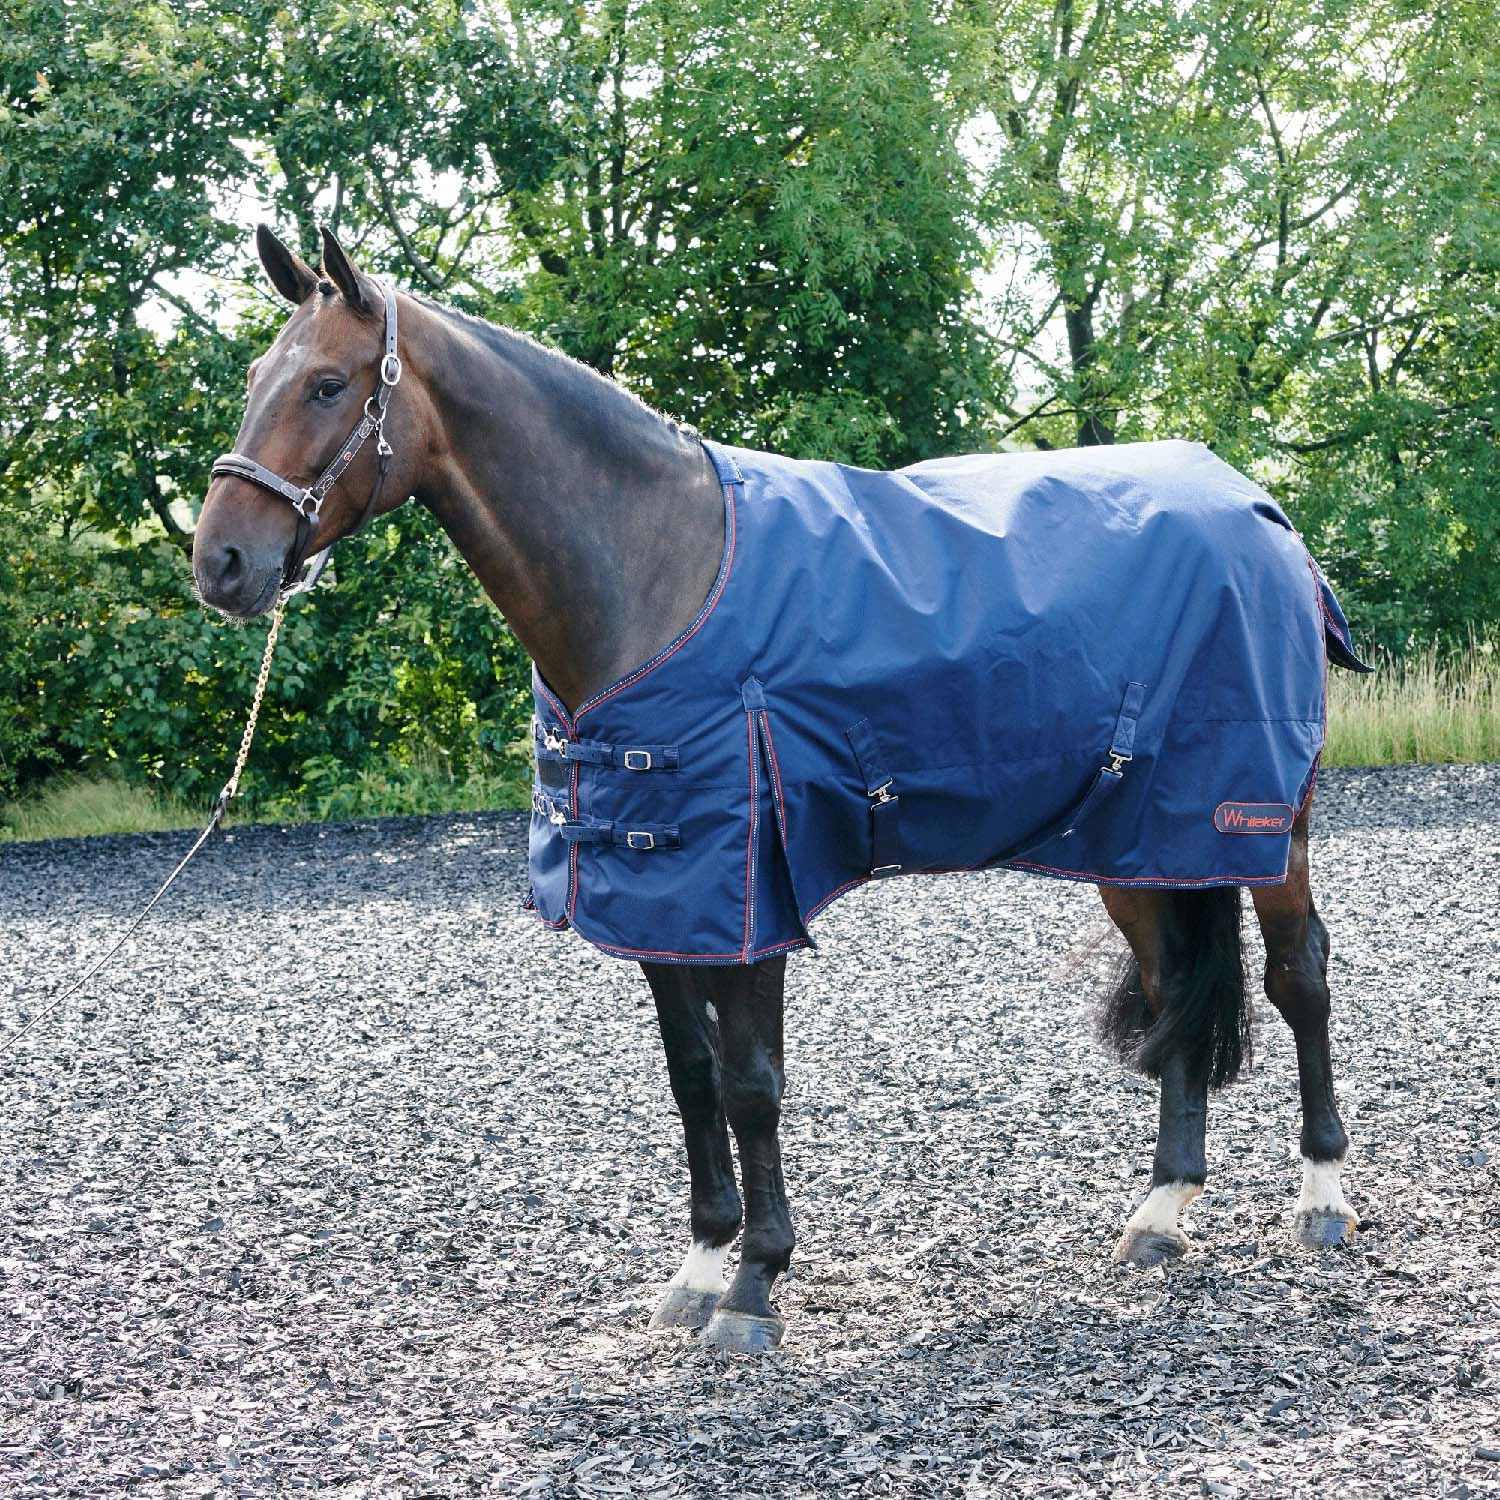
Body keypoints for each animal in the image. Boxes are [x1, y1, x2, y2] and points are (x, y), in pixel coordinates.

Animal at [192, 225, 1362, 1353]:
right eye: (256, 375)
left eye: (328, 385)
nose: (220, 564)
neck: (656, 571)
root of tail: (1258, 507)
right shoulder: (661, 893)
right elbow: (694, 1077)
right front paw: (701, 1266)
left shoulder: (750, 892)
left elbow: (754, 1085)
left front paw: (755, 1287)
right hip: (1142, 842)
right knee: (1174, 984)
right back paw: (1162, 1212)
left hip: (1268, 822)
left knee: (1298, 977)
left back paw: (1322, 1197)